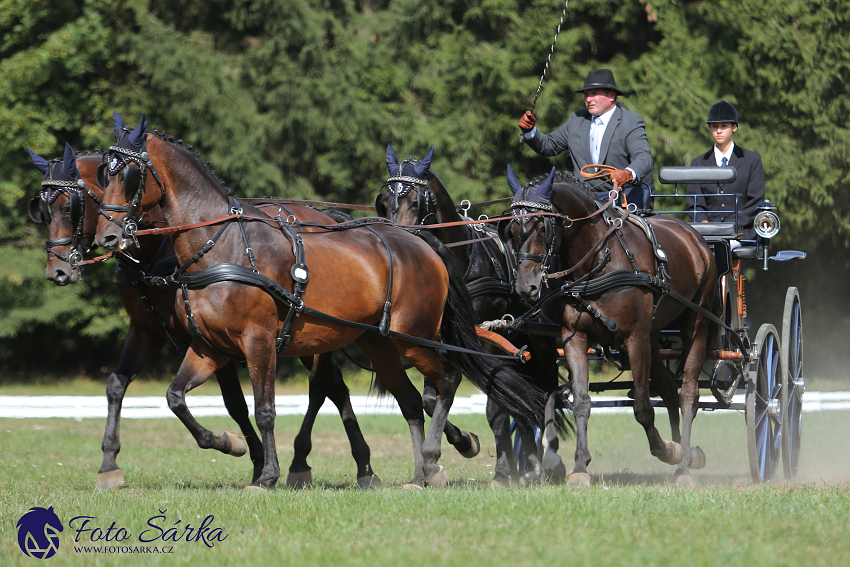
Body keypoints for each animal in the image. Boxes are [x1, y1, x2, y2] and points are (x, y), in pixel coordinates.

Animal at [27, 141, 378, 488]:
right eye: (41, 211)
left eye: (69, 208)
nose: (57, 271)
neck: (156, 250)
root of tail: (325, 217)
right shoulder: (146, 330)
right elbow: (117, 384)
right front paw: (109, 464)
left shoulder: (213, 339)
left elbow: (234, 403)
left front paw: (250, 455)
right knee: (333, 388)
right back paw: (355, 464)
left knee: (323, 387)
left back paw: (329, 463)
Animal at [94, 113, 544, 490]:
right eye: (103, 174)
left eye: (130, 175)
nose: (107, 237)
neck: (223, 245)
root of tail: (422, 243)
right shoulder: (209, 346)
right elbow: (176, 398)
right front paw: (228, 443)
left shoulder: (258, 341)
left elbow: (265, 409)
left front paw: (267, 475)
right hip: (379, 343)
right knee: (411, 401)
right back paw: (421, 473)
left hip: (412, 338)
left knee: (445, 383)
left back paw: (436, 459)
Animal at [374, 144, 568, 486]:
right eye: (384, 201)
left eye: (416, 202)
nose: (399, 239)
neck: (463, 260)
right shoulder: (441, 341)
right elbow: (432, 399)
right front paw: (466, 443)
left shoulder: (486, 340)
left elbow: (496, 408)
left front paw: (502, 472)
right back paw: (529, 463)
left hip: (537, 341)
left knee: (539, 391)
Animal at [500, 166, 712, 486]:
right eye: (511, 230)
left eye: (541, 228)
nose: (526, 287)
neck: (600, 260)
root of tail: (693, 235)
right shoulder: (574, 337)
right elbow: (580, 402)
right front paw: (579, 467)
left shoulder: (634, 338)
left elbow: (642, 407)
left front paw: (667, 450)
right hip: (652, 334)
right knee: (668, 387)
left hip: (695, 323)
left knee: (688, 393)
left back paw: (685, 462)